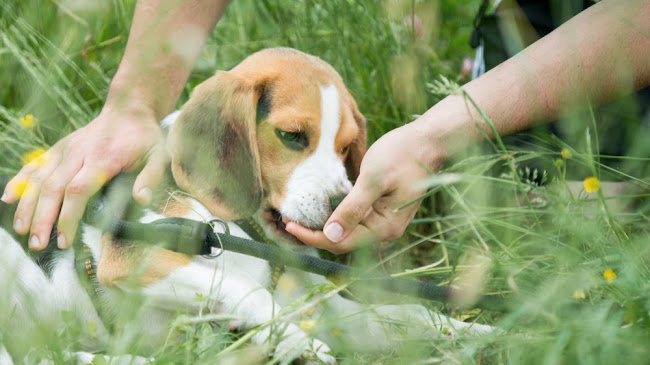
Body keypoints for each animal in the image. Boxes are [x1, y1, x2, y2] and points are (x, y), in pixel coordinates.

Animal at [0, 48, 492, 364]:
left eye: (346, 147)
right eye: (292, 136)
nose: (341, 205)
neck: (247, 232)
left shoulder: (330, 312)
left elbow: (408, 316)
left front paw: (486, 333)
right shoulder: (135, 258)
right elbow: (248, 291)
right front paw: (296, 342)